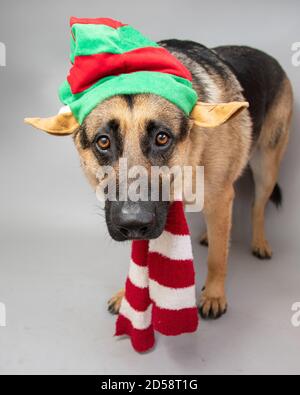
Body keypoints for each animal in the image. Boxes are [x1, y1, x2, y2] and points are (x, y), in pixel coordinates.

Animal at [45, 40, 294, 320]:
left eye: (162, 138)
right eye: (103, 141)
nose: (133, 222)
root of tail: (267, 57)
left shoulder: (219, 197)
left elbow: (217, 258)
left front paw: (214, 295)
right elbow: (139, 261)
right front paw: (127, 295)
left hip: (266, 169)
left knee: (257, 206)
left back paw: (259, 242)